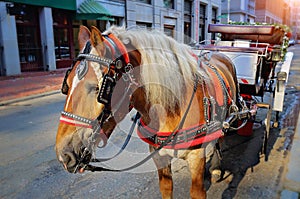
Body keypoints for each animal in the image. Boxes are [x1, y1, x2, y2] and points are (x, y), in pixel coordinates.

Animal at [55, 25, 239, 198]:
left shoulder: (196, 158)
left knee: (221, 136)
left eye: (96, 88)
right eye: (67, 85)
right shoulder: (159, 156)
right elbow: (166, 188)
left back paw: (216, 167)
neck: (173, 106)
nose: (64, 155)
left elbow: (197, 192)